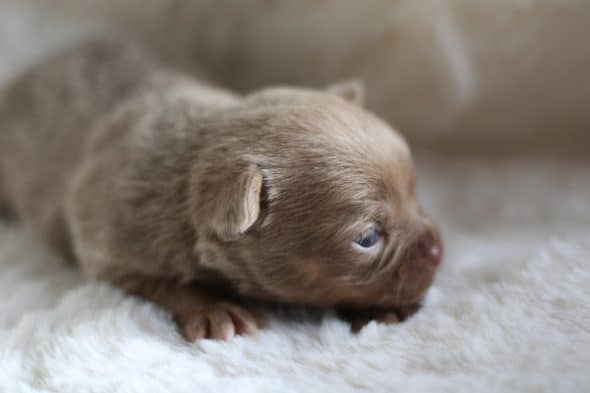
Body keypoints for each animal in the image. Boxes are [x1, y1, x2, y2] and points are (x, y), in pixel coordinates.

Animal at [0, 40, 444, 340]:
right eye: (368, 238)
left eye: (415, 191)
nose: (437, 250)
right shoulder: (110, 244)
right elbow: (168, 283)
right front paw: (218, 309)